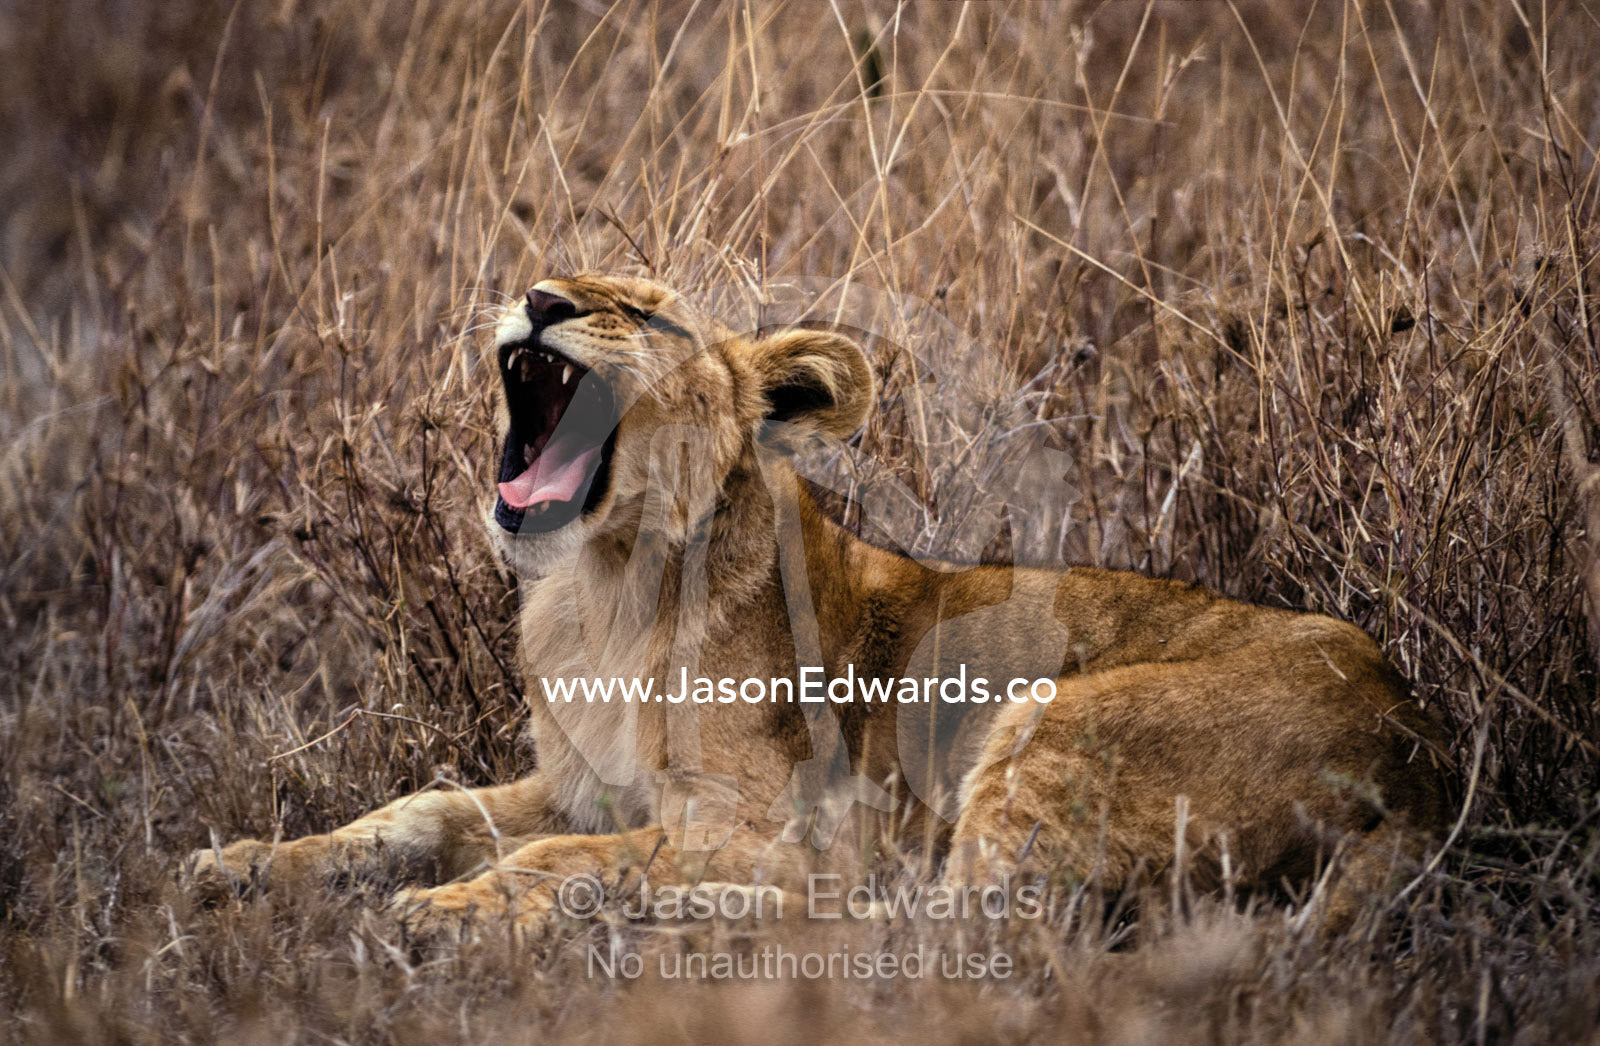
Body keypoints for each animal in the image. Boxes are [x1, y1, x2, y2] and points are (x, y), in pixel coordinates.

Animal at [191, 274, 1449, 935]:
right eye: (551, 275)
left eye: (652, 318)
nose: (539, 299)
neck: (605, 589)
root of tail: (1419, 741)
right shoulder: (578, 783)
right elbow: (419, 809)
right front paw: (244, 862)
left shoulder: (774, 817)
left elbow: (557, 854)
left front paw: (445, 911)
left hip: (1057, 721)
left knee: (923, 921)